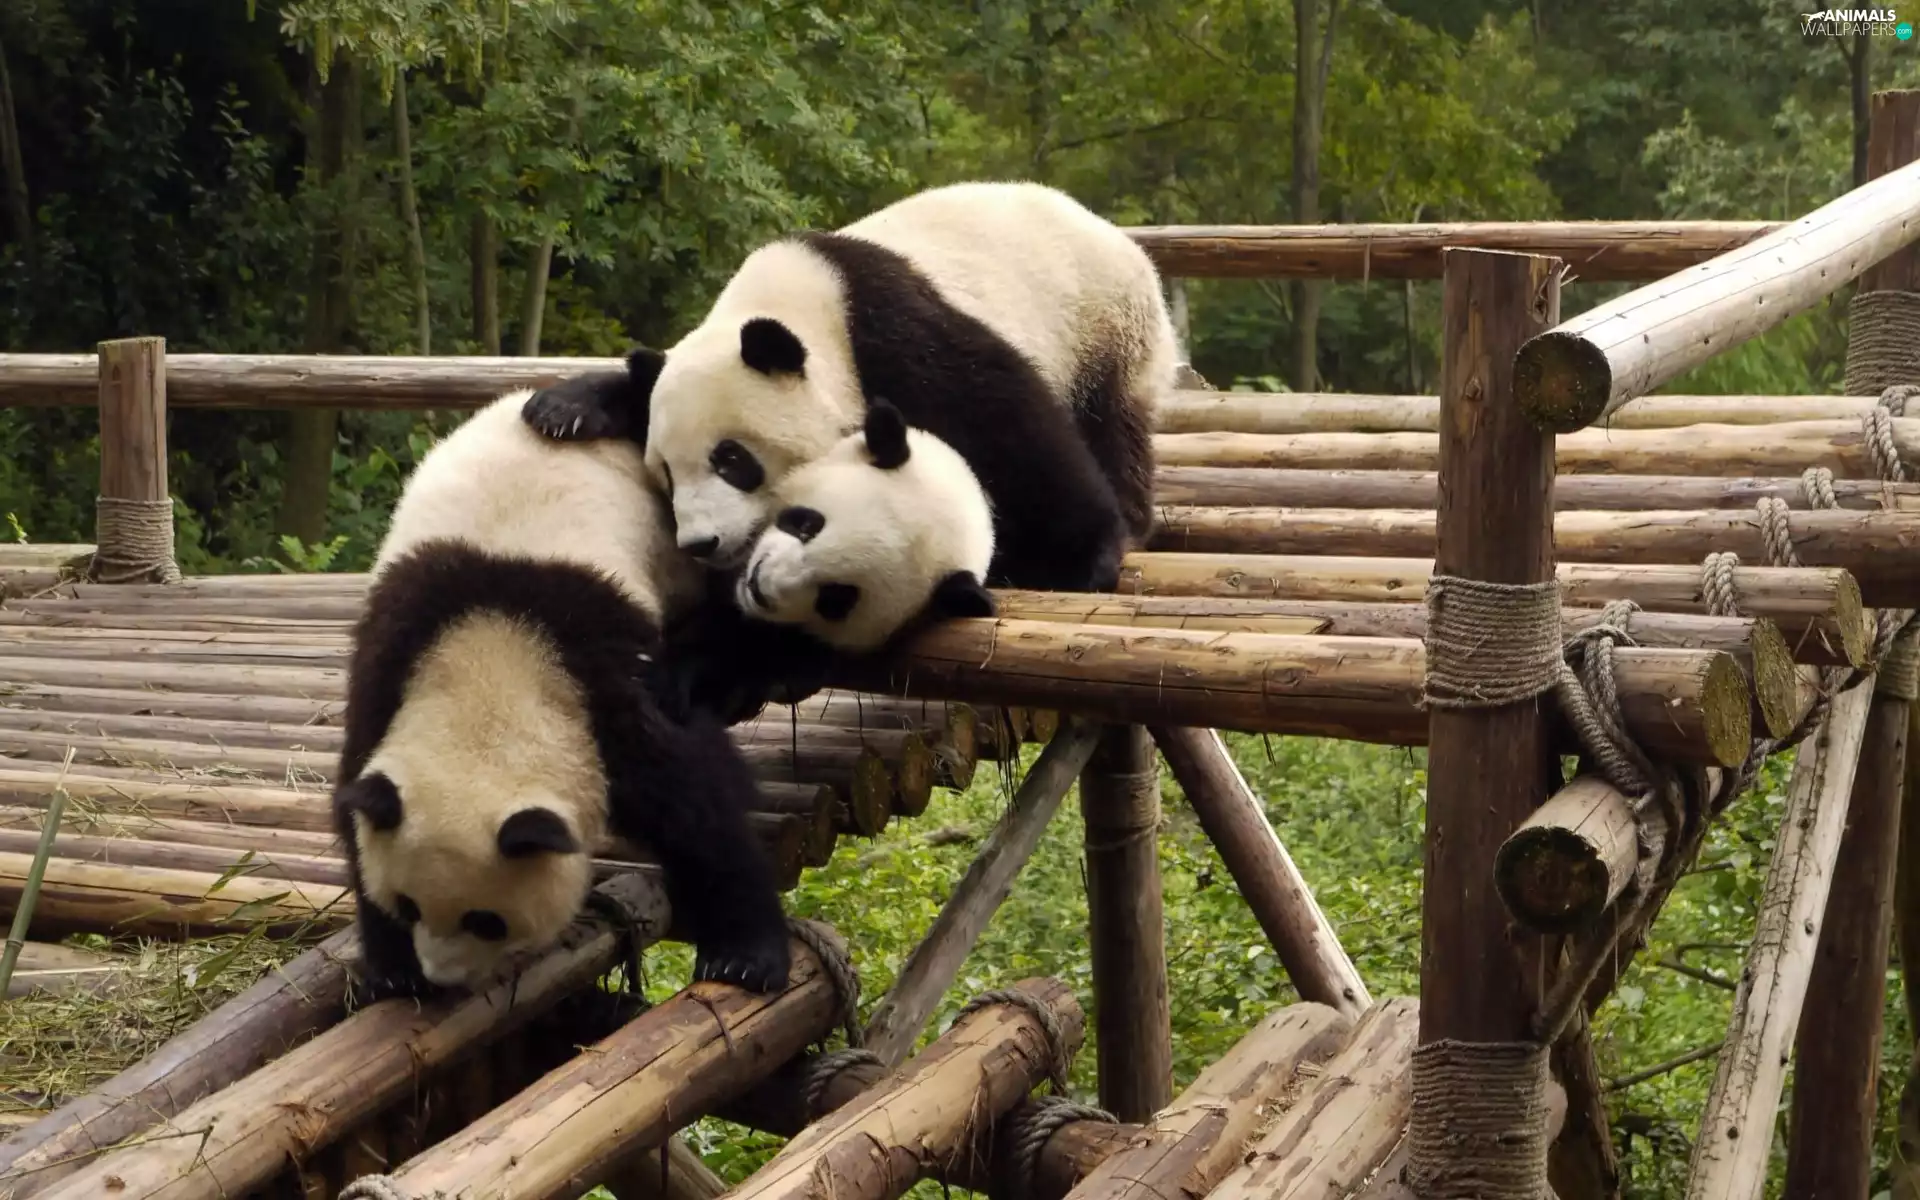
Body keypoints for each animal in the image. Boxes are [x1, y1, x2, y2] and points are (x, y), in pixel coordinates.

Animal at [333, 382, 793, 999]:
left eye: (486, 920)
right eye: (409, 906)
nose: (444, 978)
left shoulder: (606, 676)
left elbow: (702, 808)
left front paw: (746, 957)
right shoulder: (395, 656)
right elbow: (356, 809)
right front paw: (394, 969)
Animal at [521, 180, 1177, 599]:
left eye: (731, 459)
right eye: (664, 474)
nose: (702, 542)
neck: (803, 304)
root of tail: (1114, 234)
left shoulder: (894, 332)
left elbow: (1008, 423)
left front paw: (1076, 558)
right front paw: (563, 408)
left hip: (1104, 329)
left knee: (1109, 425)